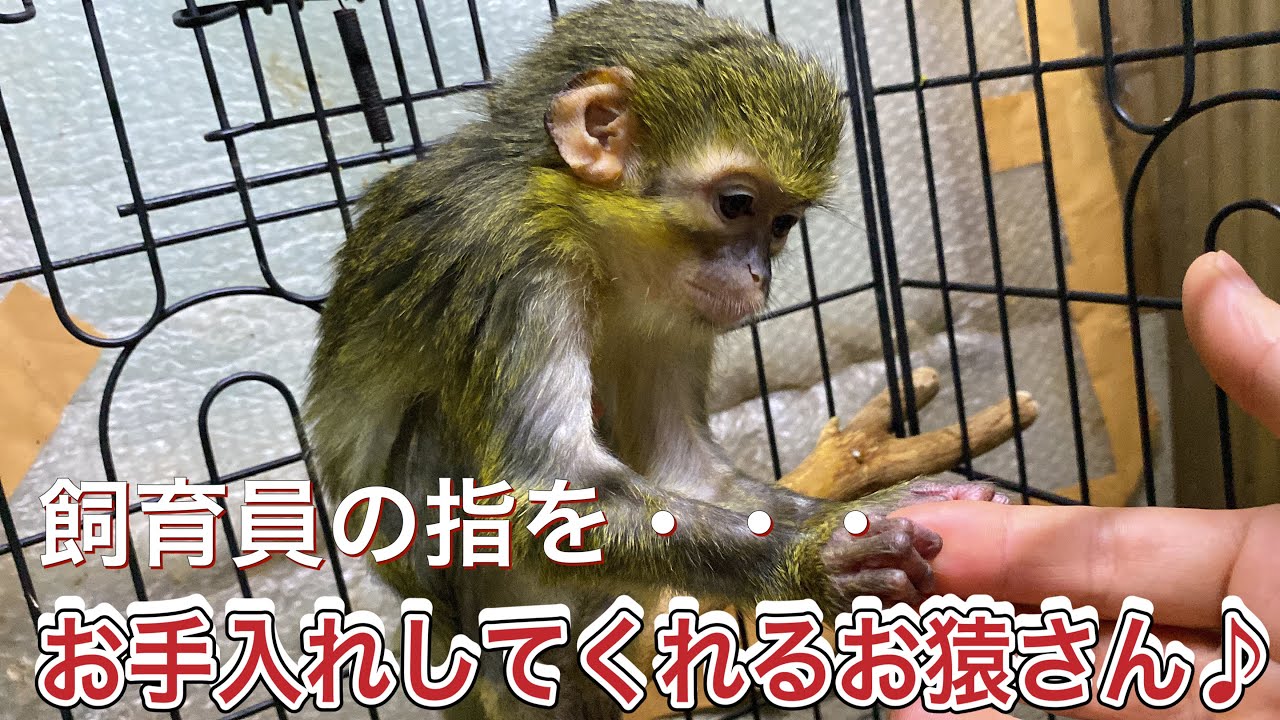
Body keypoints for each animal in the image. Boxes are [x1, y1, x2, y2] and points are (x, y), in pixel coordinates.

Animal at [304, 2, 1004, 717]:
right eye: (736, 205)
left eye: (782, 225)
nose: (755, 276)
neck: (582, 220)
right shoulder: (508, 252)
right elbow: (547, 490)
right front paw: (814, 561)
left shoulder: (675, 315)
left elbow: (685, 469)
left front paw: (870, 506)